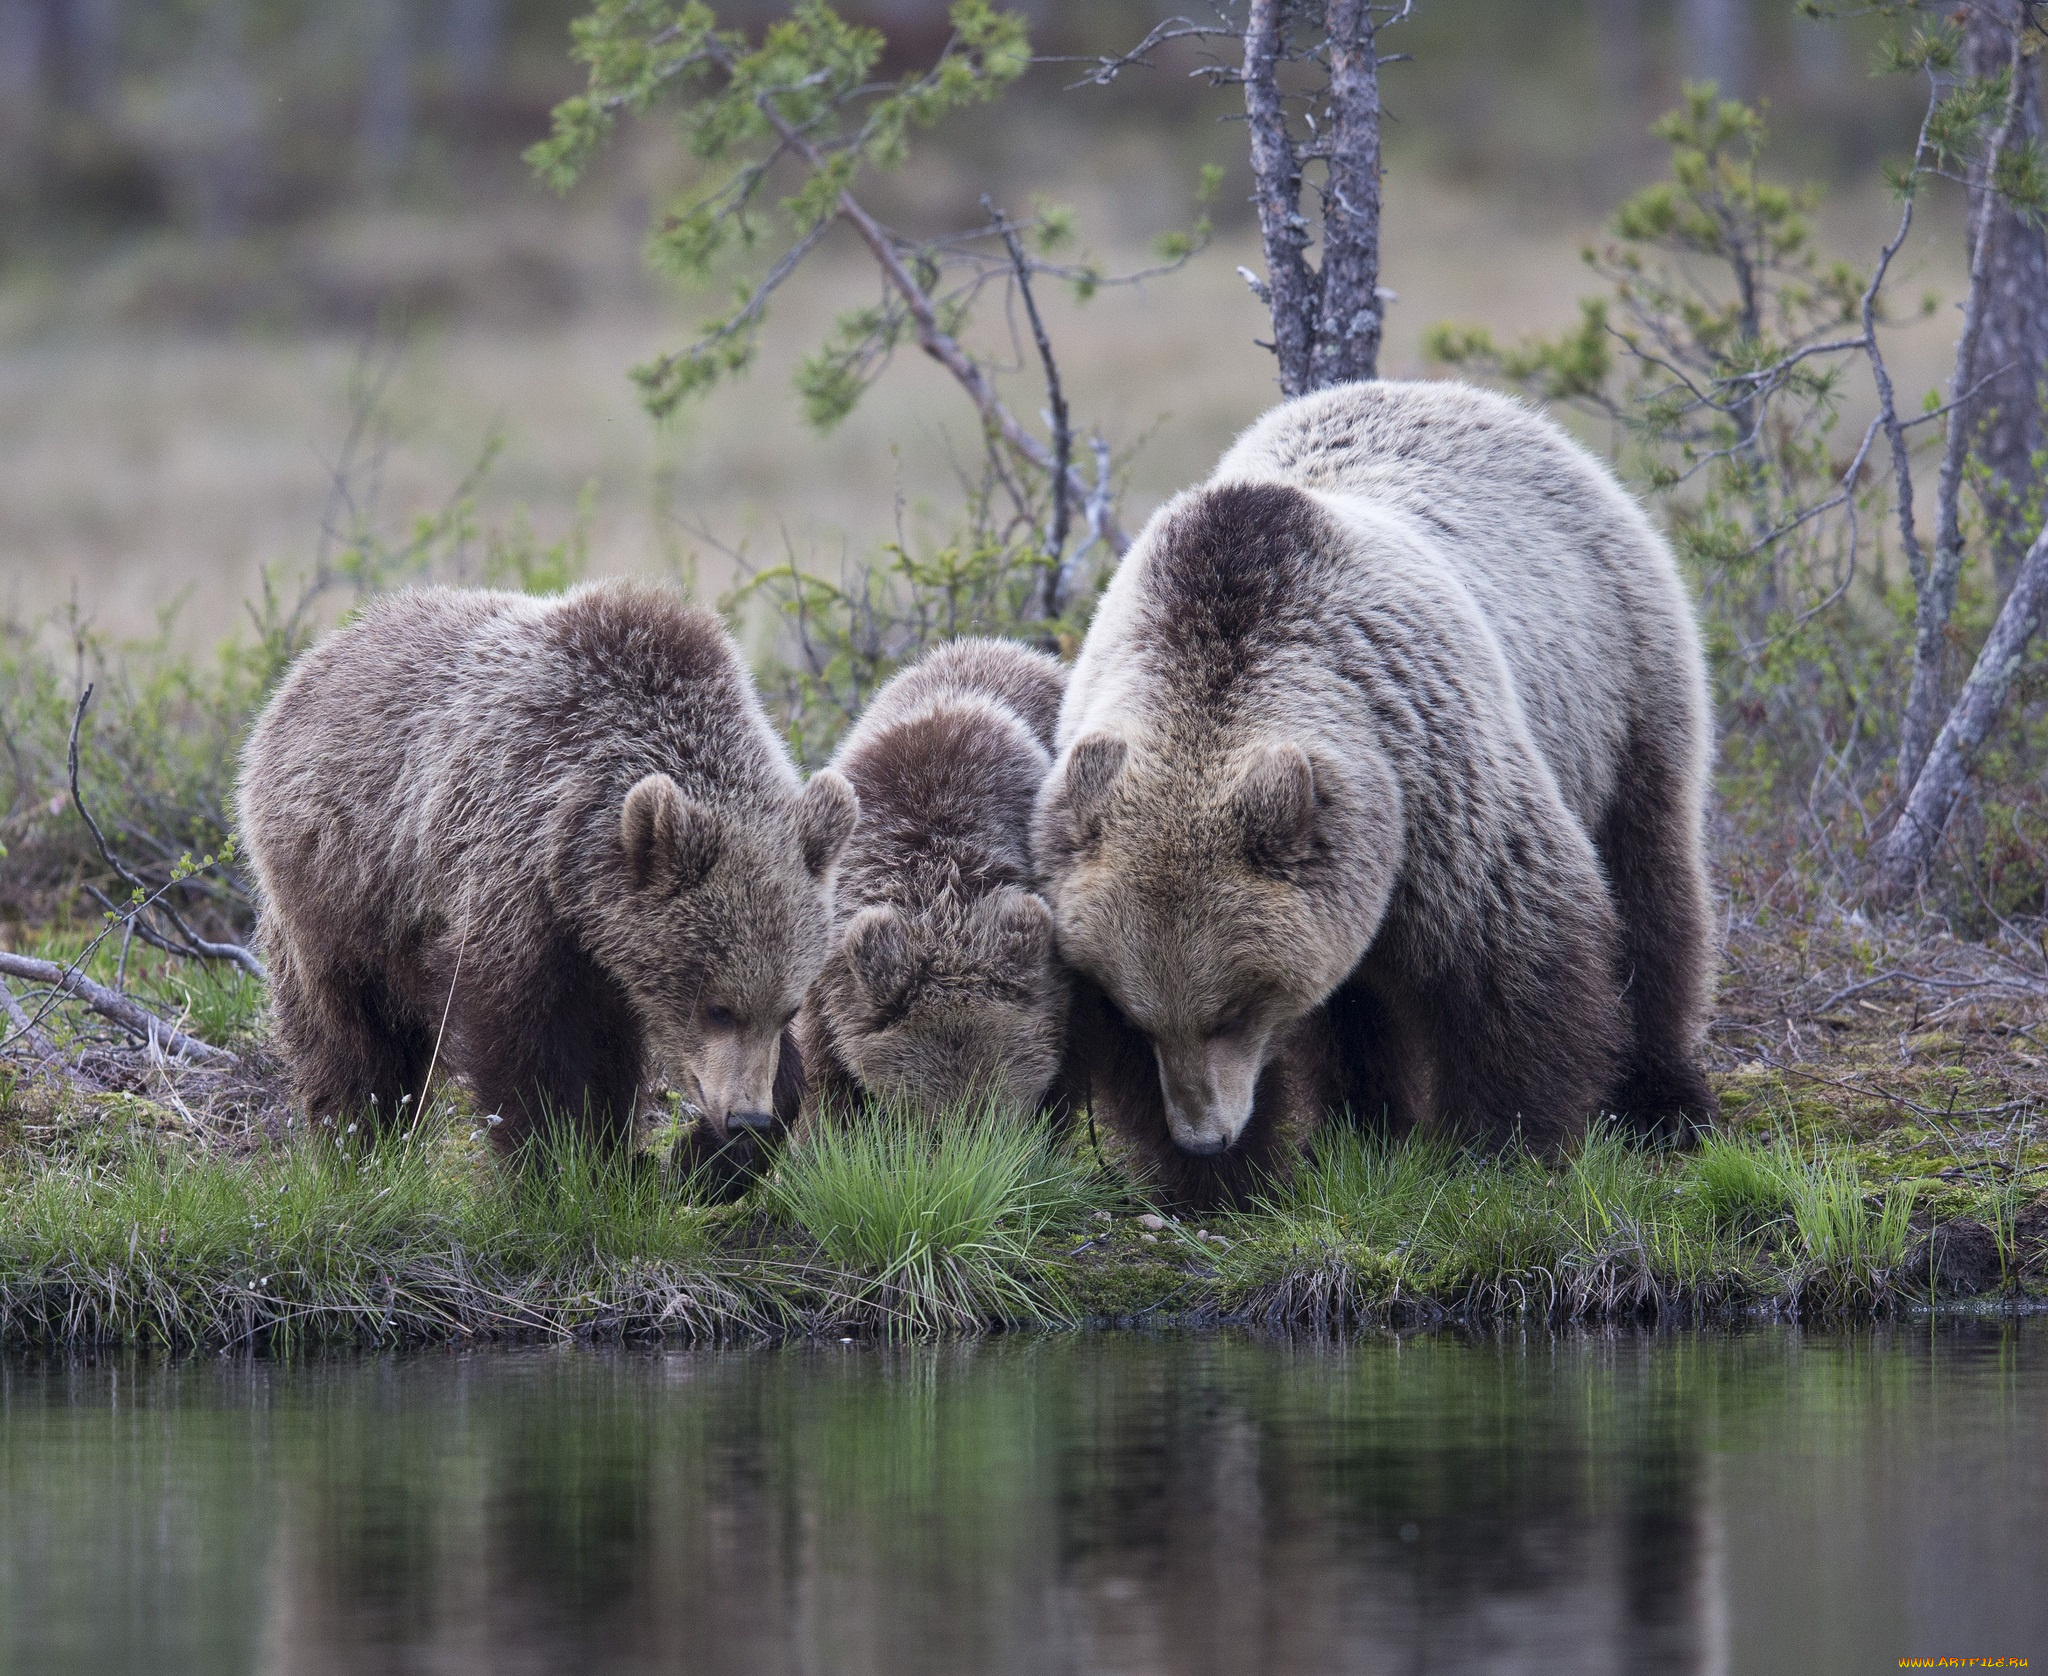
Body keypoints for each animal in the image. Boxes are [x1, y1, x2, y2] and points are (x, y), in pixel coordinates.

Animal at [237, 581, 856, 1171]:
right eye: (717, 1007)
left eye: (789, 1008)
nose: (745, 1119)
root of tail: (312, 661)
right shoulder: (509, 867)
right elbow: (522, 1047)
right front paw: (554, 1164)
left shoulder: (606, 945)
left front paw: (704, 1158)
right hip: (344, 885)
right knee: (353, 1036)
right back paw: (357, 1139)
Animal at [1032, 379, 1720, 1204]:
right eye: (1138, 1013)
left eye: (1233, 1009)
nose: (1203, 1134)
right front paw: (1225, 1174)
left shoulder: (1435, 780)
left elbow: (1513, 950)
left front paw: (1501, 1142)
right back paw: (1361, 1122)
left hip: (1620, 678)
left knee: (1650, 878)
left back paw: (1664, 1097)